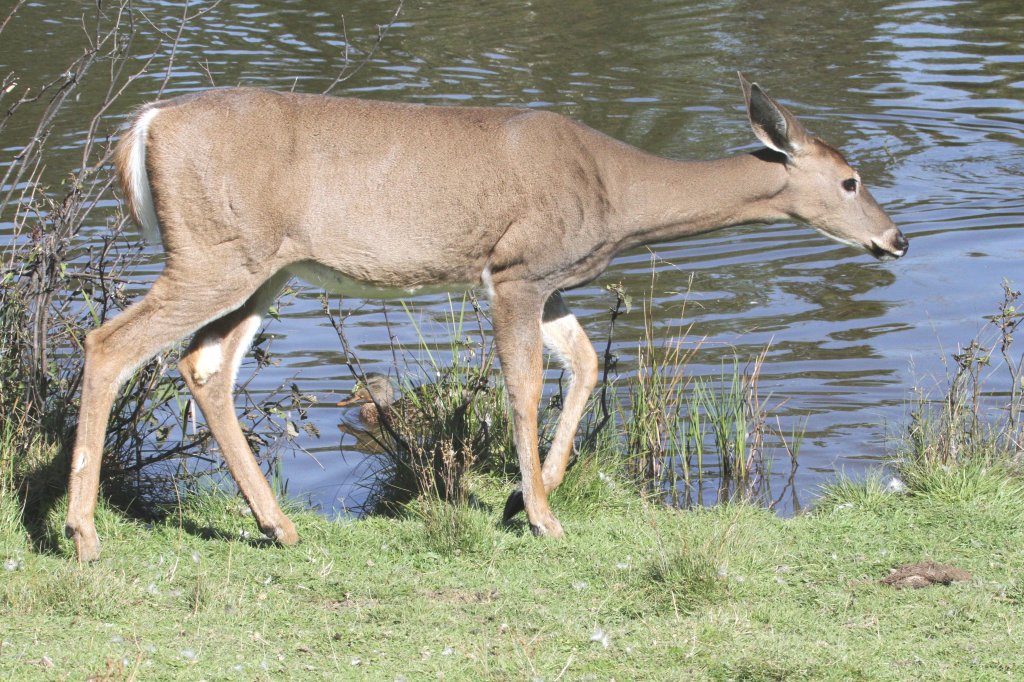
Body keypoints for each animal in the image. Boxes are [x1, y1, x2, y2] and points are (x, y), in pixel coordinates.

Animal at [64, 73, 905, 557]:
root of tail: (148, 124)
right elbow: (524, 388)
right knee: (108, 342)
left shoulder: (553, 281)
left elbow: (587, 364)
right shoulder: (514, 272)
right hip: (216, 254)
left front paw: (524, 496)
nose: (896, 239)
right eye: (850, 179)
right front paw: (541, 517)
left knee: (203, 362)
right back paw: (83, 535)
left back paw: (277, 525)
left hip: (265, 268)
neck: (616, 196)